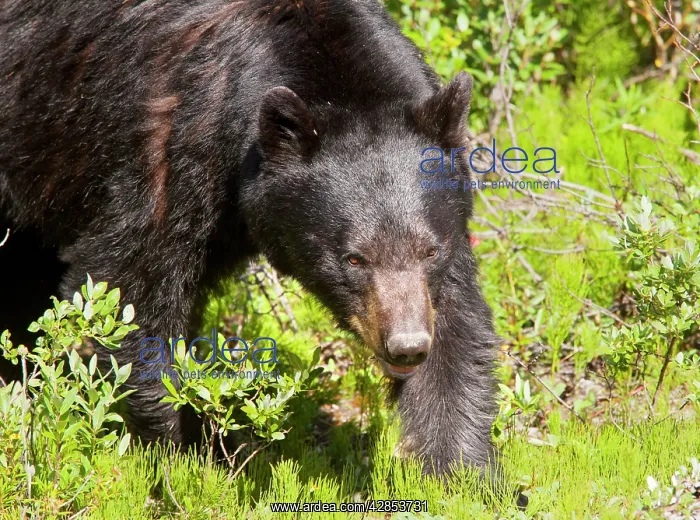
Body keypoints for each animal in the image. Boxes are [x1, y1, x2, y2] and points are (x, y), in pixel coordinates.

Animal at [0, 0, 508, 495]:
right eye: (353, 258)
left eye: (430, 250)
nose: (406, 346)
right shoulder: (170, 145)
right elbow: (129, 286)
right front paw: (183, 456)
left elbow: (457, 331)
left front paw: (459, 477)